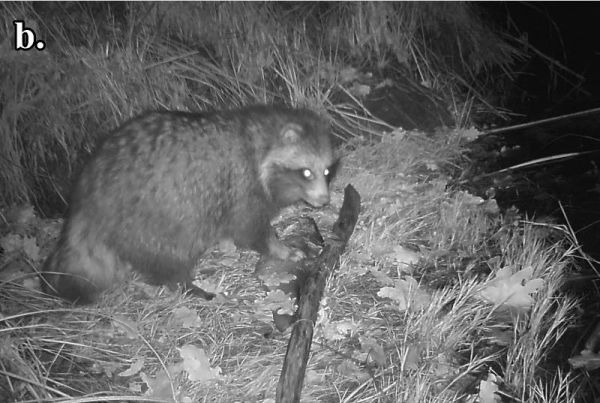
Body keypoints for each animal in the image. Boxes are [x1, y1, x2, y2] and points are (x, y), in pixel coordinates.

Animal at [43, 105, 338, 304]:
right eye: (306, 172)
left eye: (326, 171)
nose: (324, 200)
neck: (260, 140)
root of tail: (87, 194)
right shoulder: (242, 184)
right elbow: (251, 229)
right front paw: (280, 249)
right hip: (152, 217)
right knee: (170, 254)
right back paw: (184, 284)